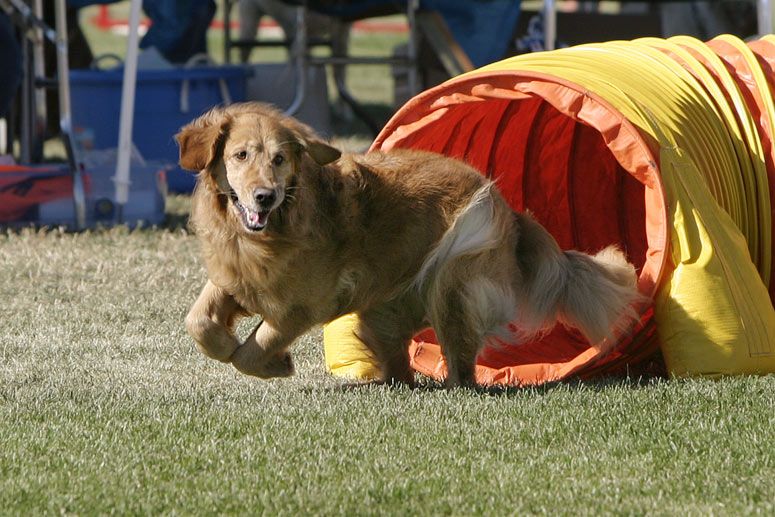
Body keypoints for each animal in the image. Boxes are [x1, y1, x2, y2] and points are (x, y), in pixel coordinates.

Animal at [177, 101, 644, 384]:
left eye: (279, 159)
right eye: (240, 155)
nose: (265, 196)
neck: (269, 233)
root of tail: (509, 209)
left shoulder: (301, 307)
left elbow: (253, 349)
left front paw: (275, 363)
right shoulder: (235, 277)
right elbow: (197, 322)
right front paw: (227, 343)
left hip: (453, 278)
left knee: (460, 360)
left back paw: (455, 387)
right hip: (383, 306)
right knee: (399, 361)